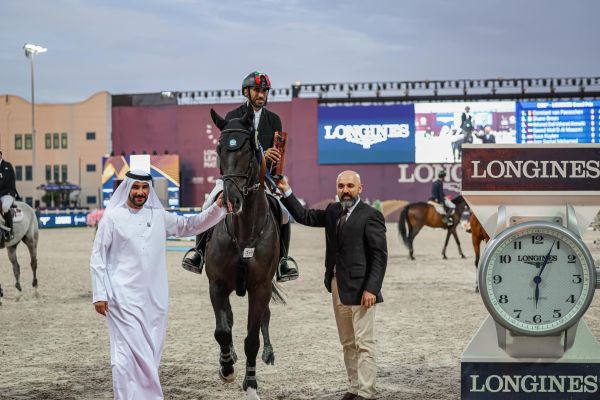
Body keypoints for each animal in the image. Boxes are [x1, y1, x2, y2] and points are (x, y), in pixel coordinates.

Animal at [204, 108, 284, 398]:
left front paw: (250, 383)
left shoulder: (260, 287)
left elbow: (252, 339)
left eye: (249, 149)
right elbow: (222, 331)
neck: (244, 230)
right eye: (218, 148)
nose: (231, 201)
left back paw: (269, 354)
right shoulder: (216, 284)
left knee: (264, 319)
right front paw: (226, 367)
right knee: (227, 319)